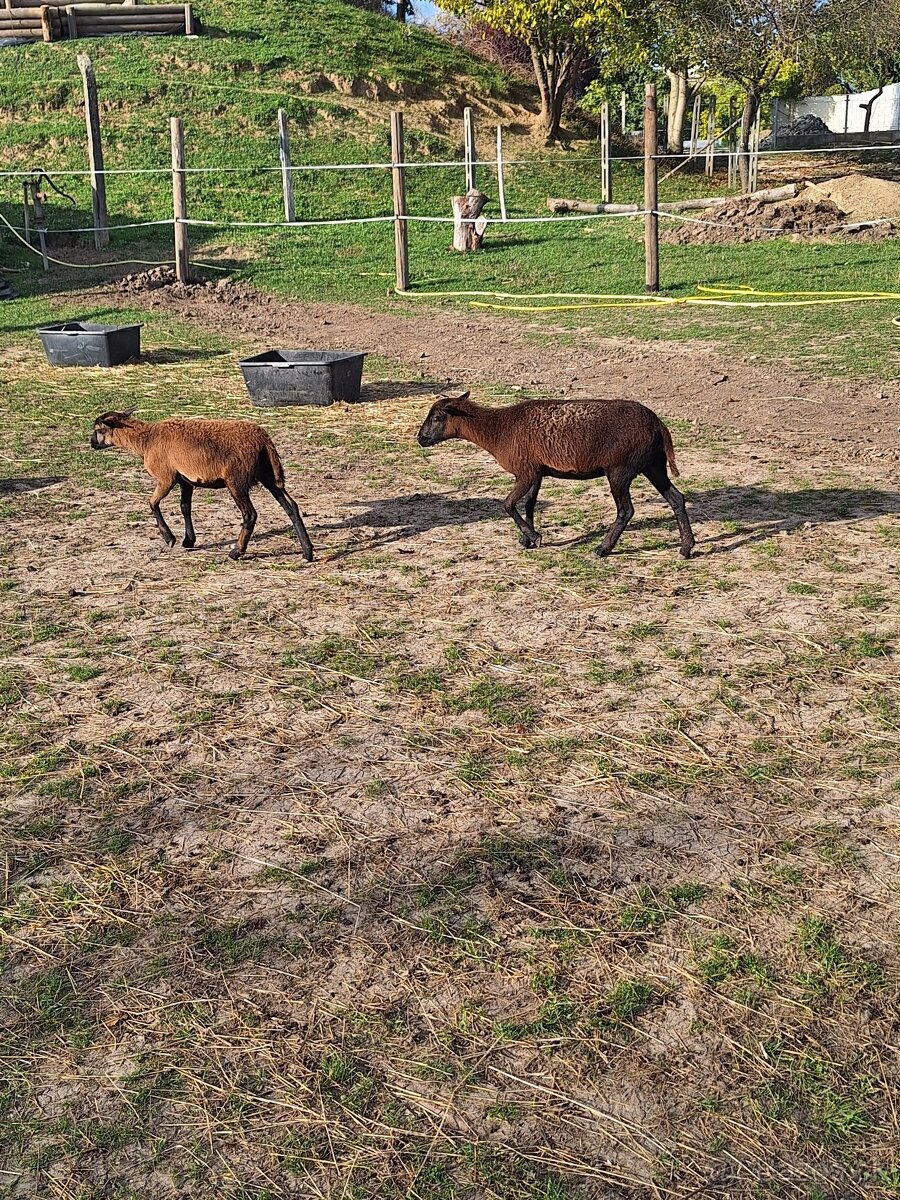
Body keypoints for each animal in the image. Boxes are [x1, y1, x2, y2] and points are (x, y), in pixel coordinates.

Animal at [88, 412, 314, 561]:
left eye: (98, 430)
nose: (92, 444)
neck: (146, 440)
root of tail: (264, 440)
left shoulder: (166, 478)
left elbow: (152, 503)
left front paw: (170, 538)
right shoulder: (185, 480)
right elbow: (184, 507)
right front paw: (188, 541)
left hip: (236, 480)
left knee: (250, 514)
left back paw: (235, 552)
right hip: (269, 475)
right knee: (291, 507)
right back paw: (307, 552)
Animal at [417, 396, 696, 559]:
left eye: (437, 417)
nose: (420, 438)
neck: (497, 429)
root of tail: (658, 424)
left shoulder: (526, 471)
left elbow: (508, 504)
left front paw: (534, 537)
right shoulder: (537, 472)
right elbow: (529, 504)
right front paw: (527, 538)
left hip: (620, 469)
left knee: (626, 510)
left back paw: (603, 548)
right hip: (653, 465)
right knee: (676, 499)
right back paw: (685, 548)